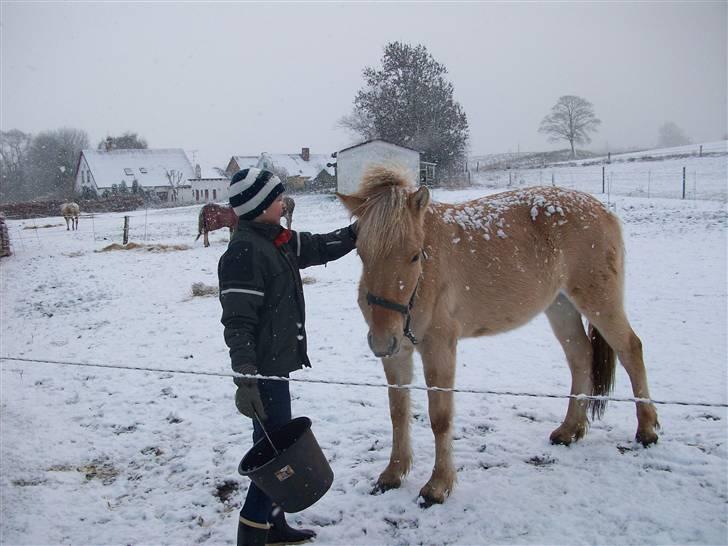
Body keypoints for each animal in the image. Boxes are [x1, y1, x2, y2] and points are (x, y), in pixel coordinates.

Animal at [338, 166, 664, 506]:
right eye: (361, 253)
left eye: (415, 256)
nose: (381, 340)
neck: (426, 276)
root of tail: (604, 211)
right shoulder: (398, 353)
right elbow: (398, 412)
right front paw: (393, 473)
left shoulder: (439, 348)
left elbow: (440, 417)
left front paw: (438, 486)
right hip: (560, 306)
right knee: (581, 357)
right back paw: (569, 430)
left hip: (599, 301)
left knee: (630, 349)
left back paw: (646, 430)